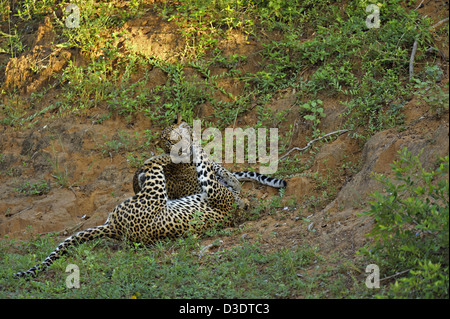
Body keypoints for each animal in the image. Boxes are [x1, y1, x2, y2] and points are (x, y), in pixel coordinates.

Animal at [13, 121, 239, 278]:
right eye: (167, 138)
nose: (176, 144)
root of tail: (114, 228)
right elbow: (206, 162)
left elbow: (211, 163)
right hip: (155, 191)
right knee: (153, 164)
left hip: (154, 192)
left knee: (153, 165)